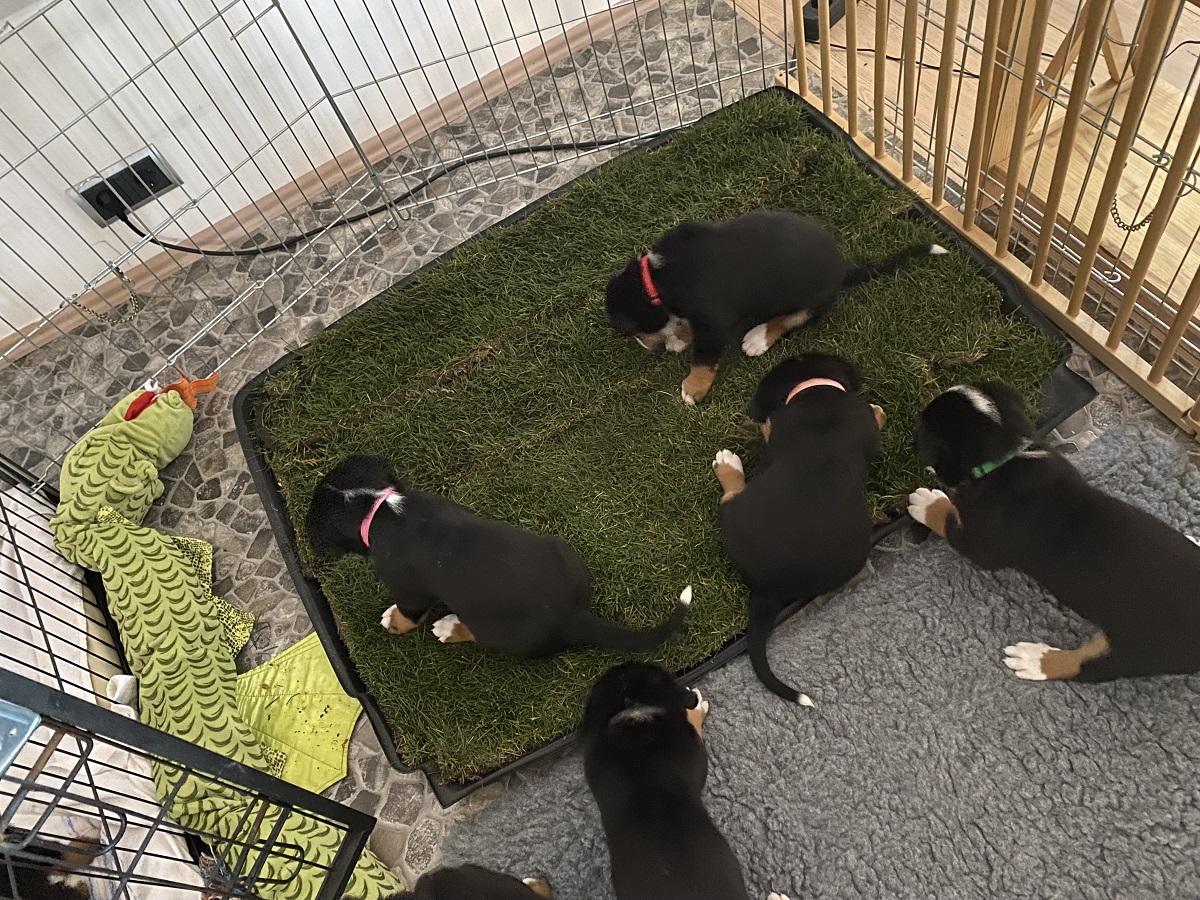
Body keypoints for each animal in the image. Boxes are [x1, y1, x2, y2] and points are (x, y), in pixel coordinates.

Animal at [307, 456, 691, 656]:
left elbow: (408, 614)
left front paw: (393, 622)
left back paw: (449, 627)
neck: (379, 509)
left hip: (501, 632)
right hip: (561, 549)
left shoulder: (408, 590)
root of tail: (572, 614)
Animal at [605, 208, 946, 405]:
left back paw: (759, 337)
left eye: (632, 332)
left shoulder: (714, 322)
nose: (645, 346)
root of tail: (843, 266)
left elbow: (704, 357)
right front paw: (679, 337)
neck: (656, 279)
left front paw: (693, 387)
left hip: (809, 301)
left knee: (790, 320)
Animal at [907, 382, 1200, 682]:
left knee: (1089, 668)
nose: (911, 440)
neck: (1007, 454)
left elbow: (945, 519)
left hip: (1143, 649)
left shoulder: (981, 544)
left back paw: (1035, 659)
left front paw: (927, 502)